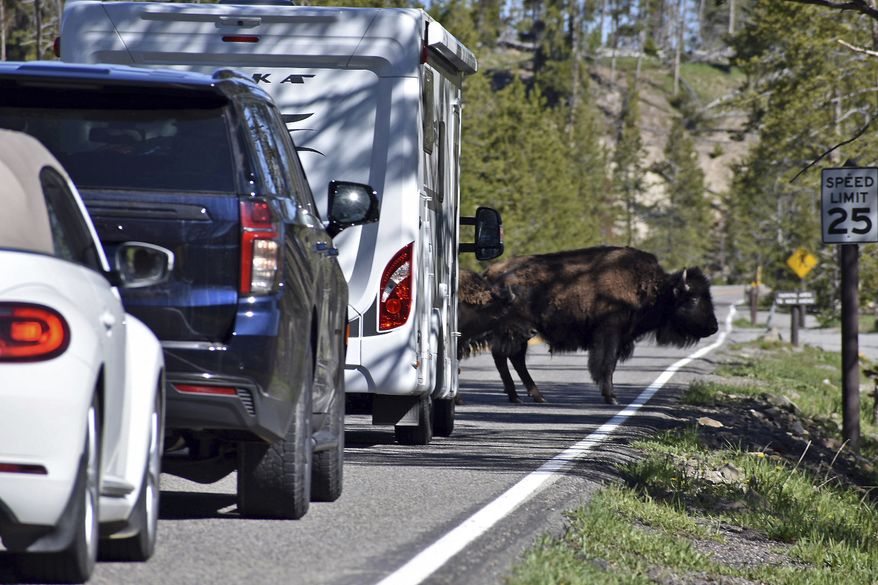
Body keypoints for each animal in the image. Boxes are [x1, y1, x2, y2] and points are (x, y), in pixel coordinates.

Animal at [480, 246, 719, 405]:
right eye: (693, 298)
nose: (713, 327)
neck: (652, 287)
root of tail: (490, 272)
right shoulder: (610, 334)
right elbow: (607, 364)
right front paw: (611, 397)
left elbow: (609, 364)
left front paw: (610, 395)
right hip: (517, 330)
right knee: (508, 356)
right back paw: (525, 396)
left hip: (522, 332)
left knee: (510, 357)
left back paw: (527, 396)